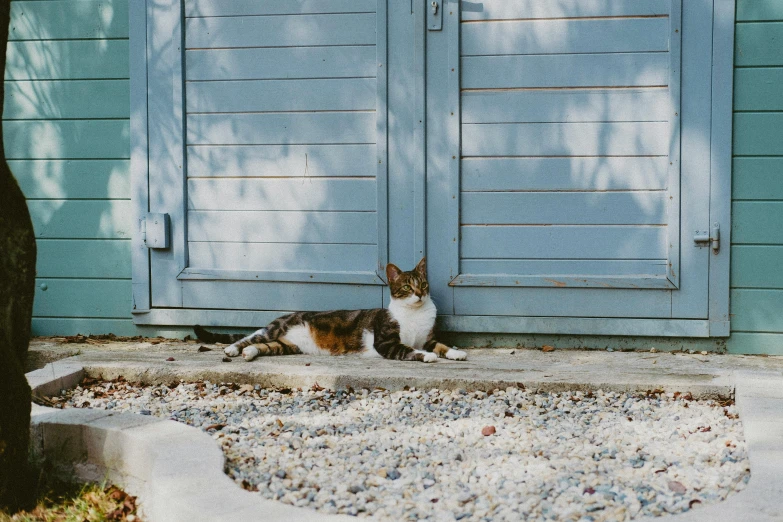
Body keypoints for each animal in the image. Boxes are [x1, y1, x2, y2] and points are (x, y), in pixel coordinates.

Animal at [194, 256, 468, 362]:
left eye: (423, 284)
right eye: (407, 287)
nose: (420, 294)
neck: (414, 314)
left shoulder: (427, 337)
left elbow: (440, 344)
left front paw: (455, 353)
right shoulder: (386, 342)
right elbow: (408, 349)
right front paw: (427, 356)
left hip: (287, 346)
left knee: (264, 346)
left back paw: (249, 354)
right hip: (275, 328)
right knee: (249, 337)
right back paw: (233, 349)